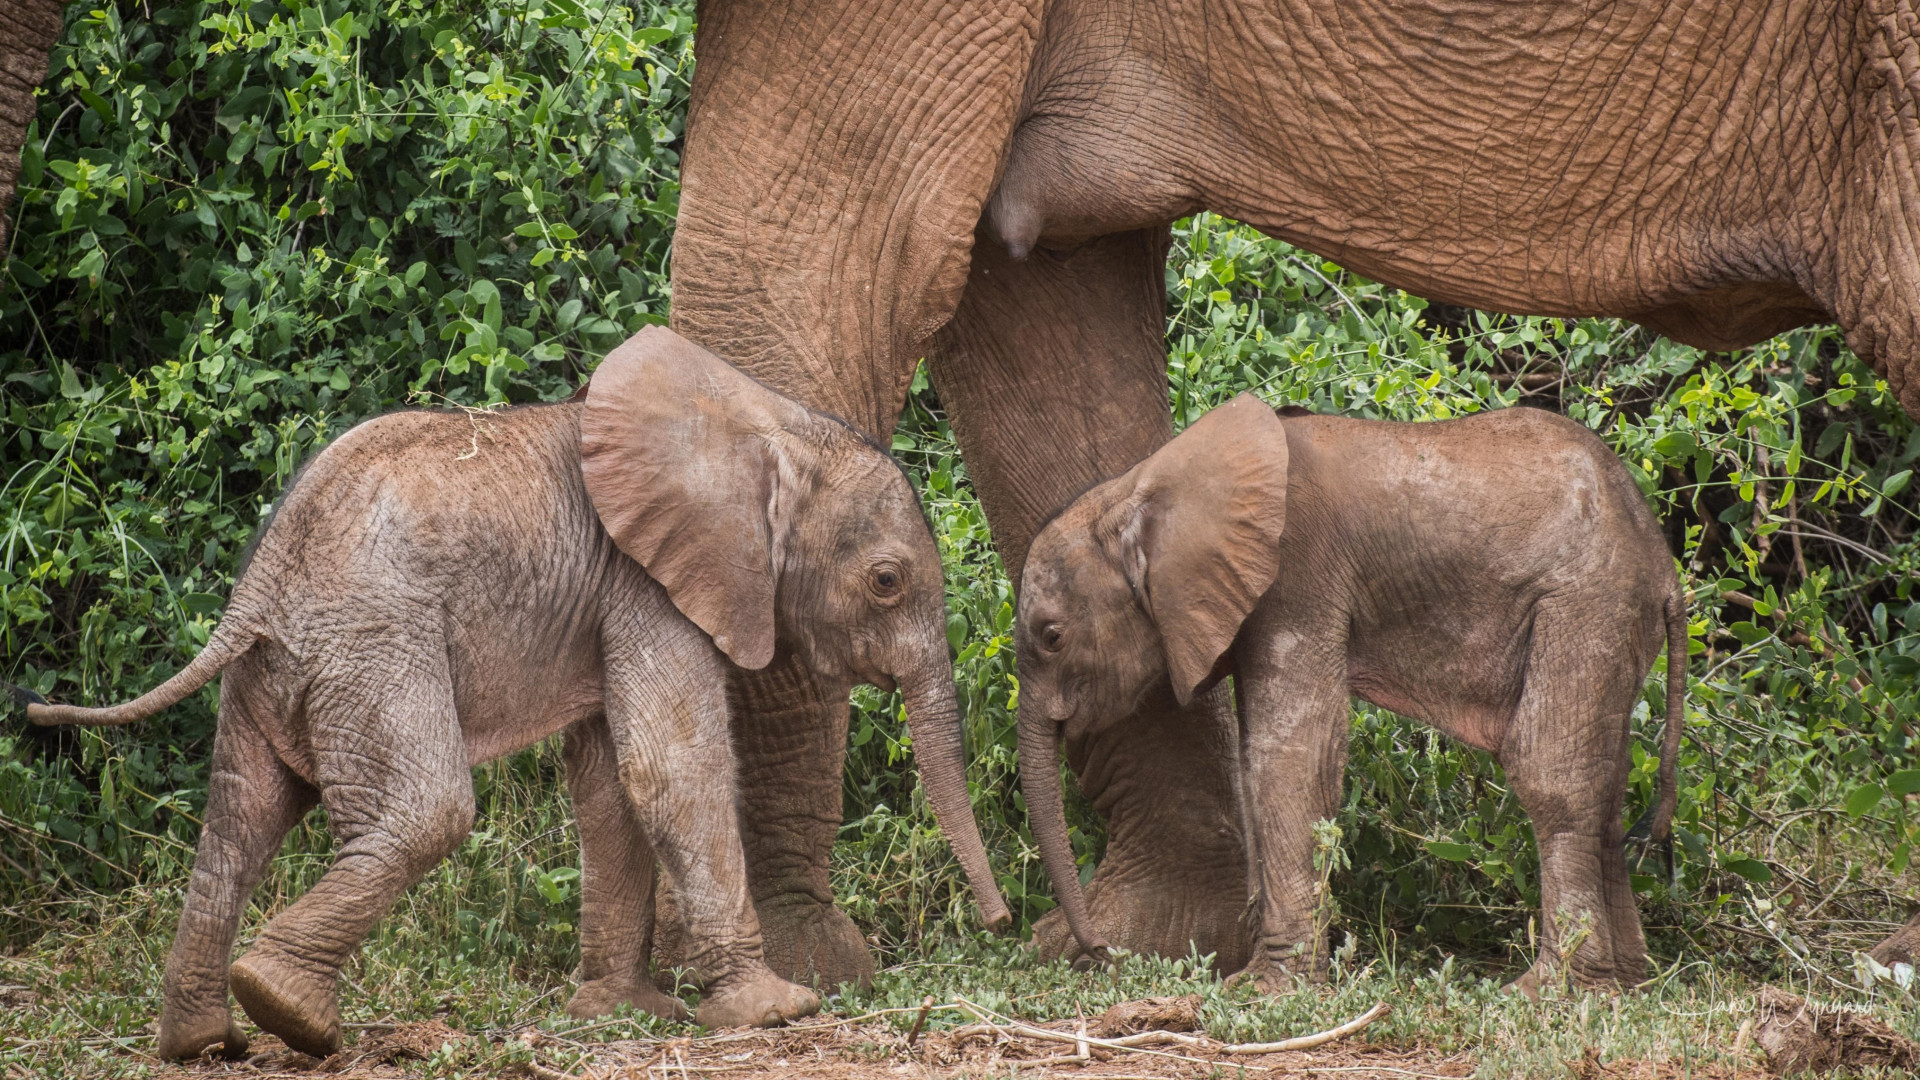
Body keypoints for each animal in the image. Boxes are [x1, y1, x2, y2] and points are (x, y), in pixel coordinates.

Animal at [26, 326, 1006, 1053]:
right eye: (886, 581)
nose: (999, 922)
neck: (765, 426)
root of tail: (257, 587)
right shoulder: (646, 586)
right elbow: (671, 768)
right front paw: (776, 1011)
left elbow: (610, 786)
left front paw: (621, 1013)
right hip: (372, 644)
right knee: (425, 811)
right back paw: (287, 1012)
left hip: (282, 667)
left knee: (240, 818)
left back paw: (208, 1040)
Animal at [1021, 395, 1681, 991]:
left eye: (1051, 637)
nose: (1098, 954)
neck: (1141, 487)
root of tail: (1664, 564)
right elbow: (1255, 759)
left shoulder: (1297, 577)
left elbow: (1289, 760)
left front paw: (1267, 989)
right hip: (1614, 618)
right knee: (1608, 788)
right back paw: (1623, 984)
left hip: (1586, 602)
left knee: (1550, 775)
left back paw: (1549, 991)